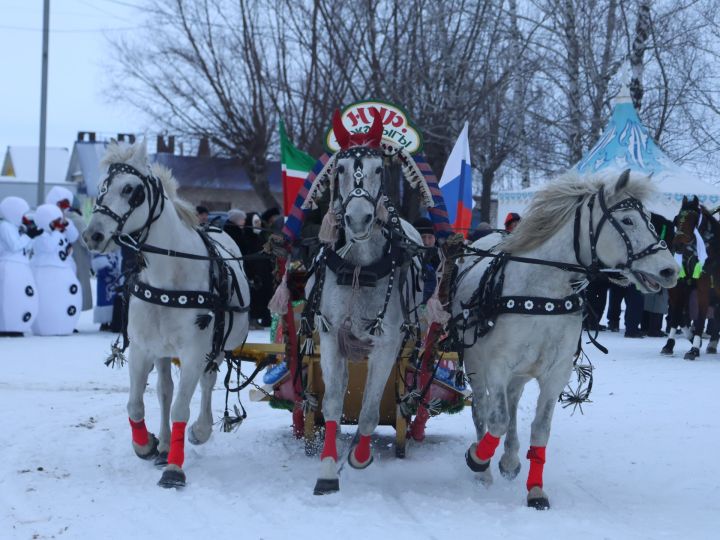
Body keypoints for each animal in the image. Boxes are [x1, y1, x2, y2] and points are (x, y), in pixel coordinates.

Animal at [83, 141, 250, 488]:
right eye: (102, 187)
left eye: (130, 189)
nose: (92, 235)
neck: (168, 275)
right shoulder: (142, 349)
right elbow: (136, 404)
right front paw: (145, 444)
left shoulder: (195, 352)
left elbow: (180, 409)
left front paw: (175, 467)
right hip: (162, 351)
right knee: (163, 391)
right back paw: (161, 445)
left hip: (217, 347)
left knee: (207, 382)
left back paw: (200, 430)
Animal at [302, 112, 428, 496]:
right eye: (340, 168)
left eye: (378, 168)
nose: (358, 219)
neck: (359, 267)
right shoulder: (330, 336)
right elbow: (331, 403)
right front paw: (328, 469)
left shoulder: (386, 344)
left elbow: (371, 410)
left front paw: (358, 456)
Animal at [452, 171, 676, 508]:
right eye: (627, 220)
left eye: (650, 220)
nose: (670, 270)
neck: (542, 294)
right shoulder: (497, 366)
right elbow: (497, 420)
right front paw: (477, 458)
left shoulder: (556, 372)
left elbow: (540, 429)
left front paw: (535, 490)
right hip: (476, 364)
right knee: (482, 408)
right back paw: (485, 469)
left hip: (520, 372)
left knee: (512, 402)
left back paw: (509, 459)